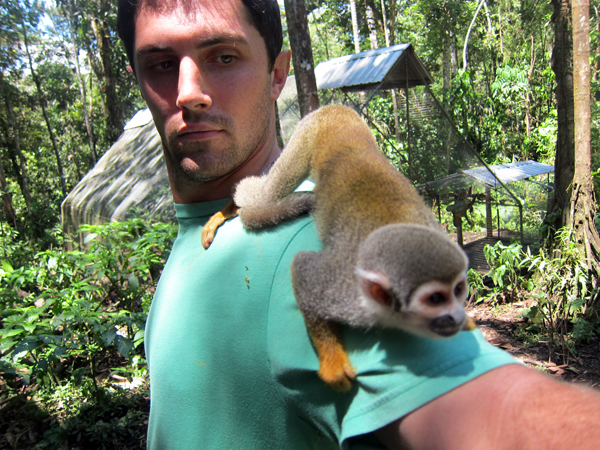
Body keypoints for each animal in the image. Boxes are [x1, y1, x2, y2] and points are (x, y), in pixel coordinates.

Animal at [204, 104, 476, 390]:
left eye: (458, 290)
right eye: (435, 299)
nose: (456, 317)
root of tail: (336, 111)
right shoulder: (346, 294)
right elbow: (303, 266)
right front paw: (333, 361)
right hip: (306, 136)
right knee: (264, 191)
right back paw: (229, 209)